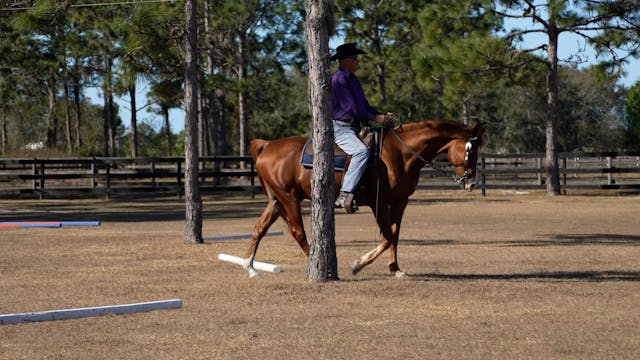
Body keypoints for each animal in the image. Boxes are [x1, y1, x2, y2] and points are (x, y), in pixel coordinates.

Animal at [242, 119, 482, 278]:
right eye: (470, 149)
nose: (470, 183)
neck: (400, 152)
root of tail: (267, 145)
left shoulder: (400, 202)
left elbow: (395, 235)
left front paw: (395, 268)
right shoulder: (379, 202)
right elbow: (386, 237)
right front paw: (358, 264)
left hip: (276, 201)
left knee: (259, 228)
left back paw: (250, 267)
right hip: (289, 198)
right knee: (297, 232)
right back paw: (315, 263)